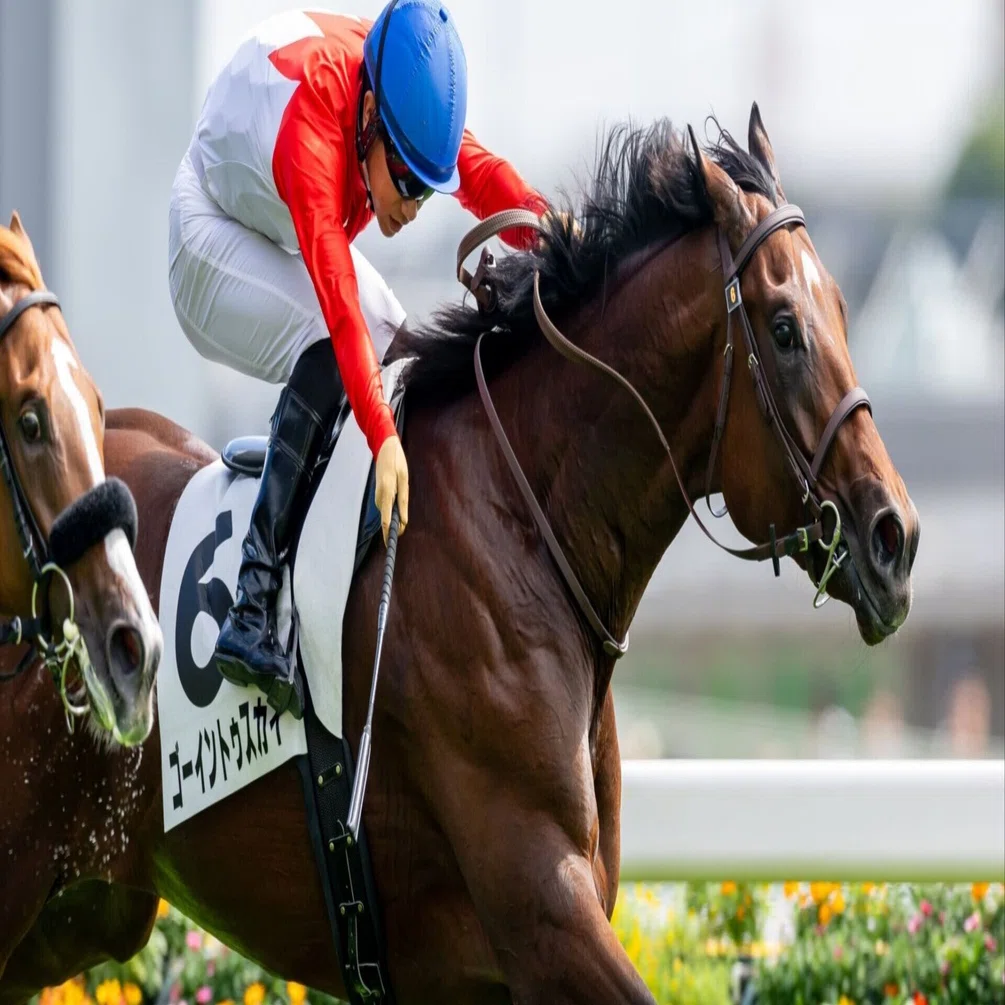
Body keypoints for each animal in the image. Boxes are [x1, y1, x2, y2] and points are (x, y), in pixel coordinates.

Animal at [0, 107, 918, 1005]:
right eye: (786, 329)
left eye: (842, 310)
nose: (895, 538)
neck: (524, 522)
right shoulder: (542, 912)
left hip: (79, 909)